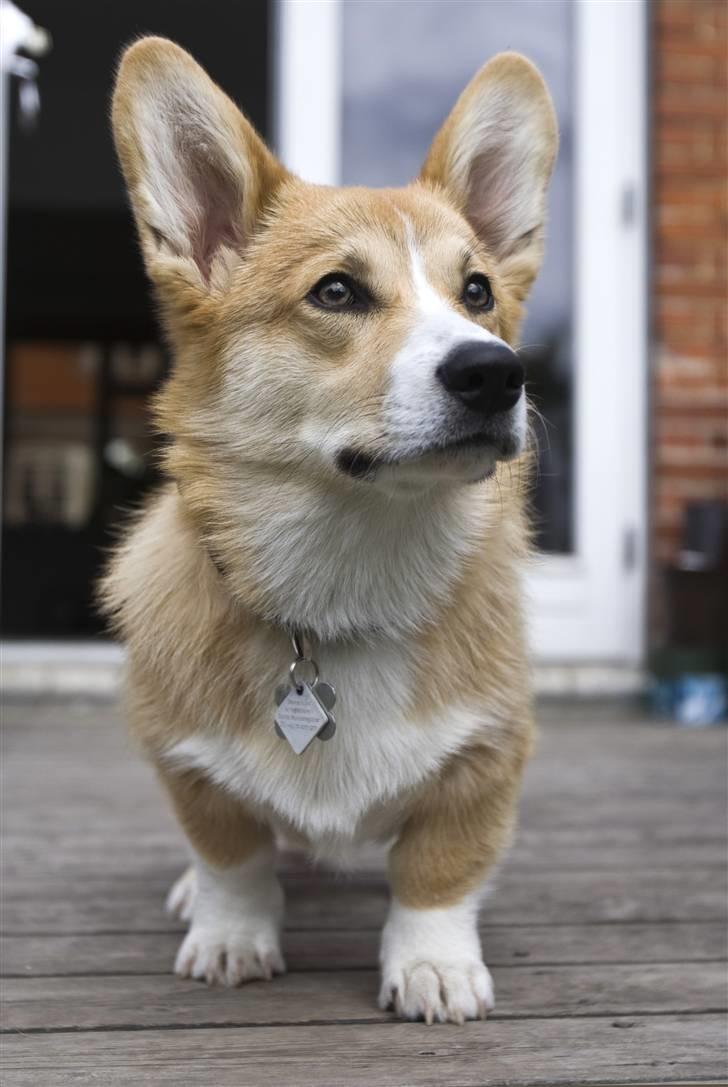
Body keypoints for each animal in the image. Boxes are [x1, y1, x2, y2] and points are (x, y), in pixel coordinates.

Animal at [102, 31, 560, 1017]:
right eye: (338, 292)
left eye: (476, 291)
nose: (495, 373)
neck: (351, 574)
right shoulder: (185, 759)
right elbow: (231, 853)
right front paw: (230, 934)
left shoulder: (488, 755)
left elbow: (439, 871)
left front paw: (433, 964)